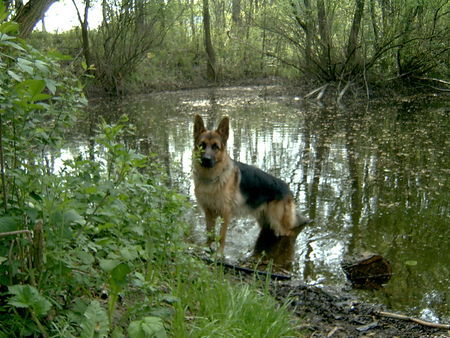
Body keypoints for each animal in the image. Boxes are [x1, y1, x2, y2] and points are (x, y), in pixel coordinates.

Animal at [192, 115, 308, 252]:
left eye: (215, 147)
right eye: (202, 145)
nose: (206, 160)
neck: (211, 179)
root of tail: (288, 189)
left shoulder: (225, 214)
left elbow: (221, 237)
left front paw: (218, 254)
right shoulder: (208, 213)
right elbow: (209, 233)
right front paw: (207, 249)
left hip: (278, 223)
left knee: (290, 233)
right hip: (266, 222)